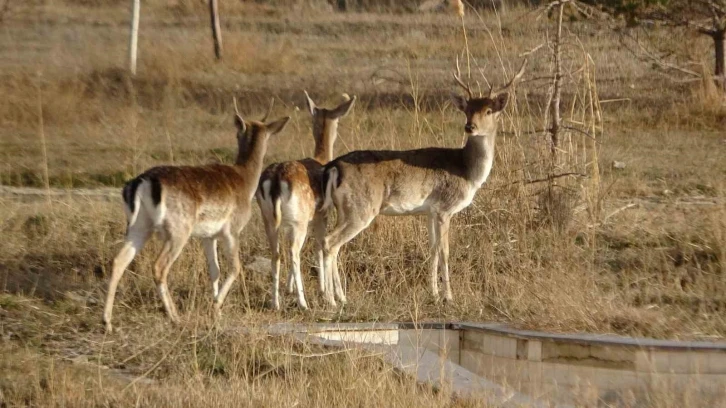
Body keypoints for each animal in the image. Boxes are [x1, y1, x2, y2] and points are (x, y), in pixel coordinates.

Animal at [104, 100, 292, 334]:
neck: (246, 180)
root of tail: (142, 182)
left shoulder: (208, 236)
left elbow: (215, 270)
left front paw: (217, 312)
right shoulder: (232, 230)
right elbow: (235, 267)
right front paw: (216, 306)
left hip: (138, 226)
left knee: (118, 260)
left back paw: (107, 322)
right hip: (178, 230)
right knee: (159, 267)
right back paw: (175, 317)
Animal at [258, 91, 356, 310]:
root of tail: (275, 180)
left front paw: (289, 288)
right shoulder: (322, 214)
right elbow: (320, 246)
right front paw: (330, 293)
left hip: (269, 219)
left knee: (276, 252)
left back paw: (275, 302)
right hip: (299, 220)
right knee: (294, 251)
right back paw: (303, 303)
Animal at [322, 60, 528, 304]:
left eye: (488, 110)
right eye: (467, 110)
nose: (470, 127)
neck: (467, 172)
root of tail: (333, 166)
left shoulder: (430, 211)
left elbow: (432, 249)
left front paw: (434, 293)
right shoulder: (445, 208)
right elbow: (445, 251)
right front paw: (449, 296)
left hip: (344, 209)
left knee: (329, 242)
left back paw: (339, 297)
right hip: (361, 208)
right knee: (330, 242)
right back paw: (331, 299)